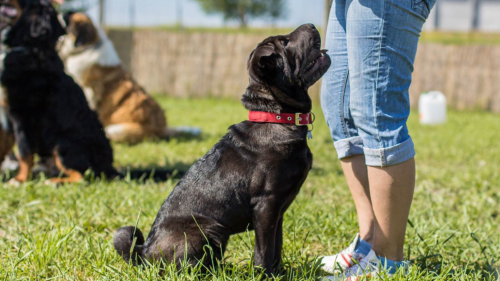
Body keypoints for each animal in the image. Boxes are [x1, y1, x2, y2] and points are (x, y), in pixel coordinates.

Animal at [0, 0, 117, 183]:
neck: (27, 47)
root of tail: (109, 168)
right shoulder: (7, 114)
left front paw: (20, 179)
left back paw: (55, 182)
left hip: (62, 143)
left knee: (83, 176)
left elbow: (24, 151)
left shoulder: (23, 115)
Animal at [58, 12, 177, 144]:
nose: (60, 13)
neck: (89, 47)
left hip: (116, 129)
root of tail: (159, 130)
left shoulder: (88, 90)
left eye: (67, 17)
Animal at [114, 23, 332, 274]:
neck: (276, 117)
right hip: (209, 230)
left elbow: (276, 246)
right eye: (285, 42)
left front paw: (279, 273)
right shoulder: (266, 205)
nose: (311, 25)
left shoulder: (278, 212)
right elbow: (264, 250)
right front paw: (263, 275)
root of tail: (144, 253)